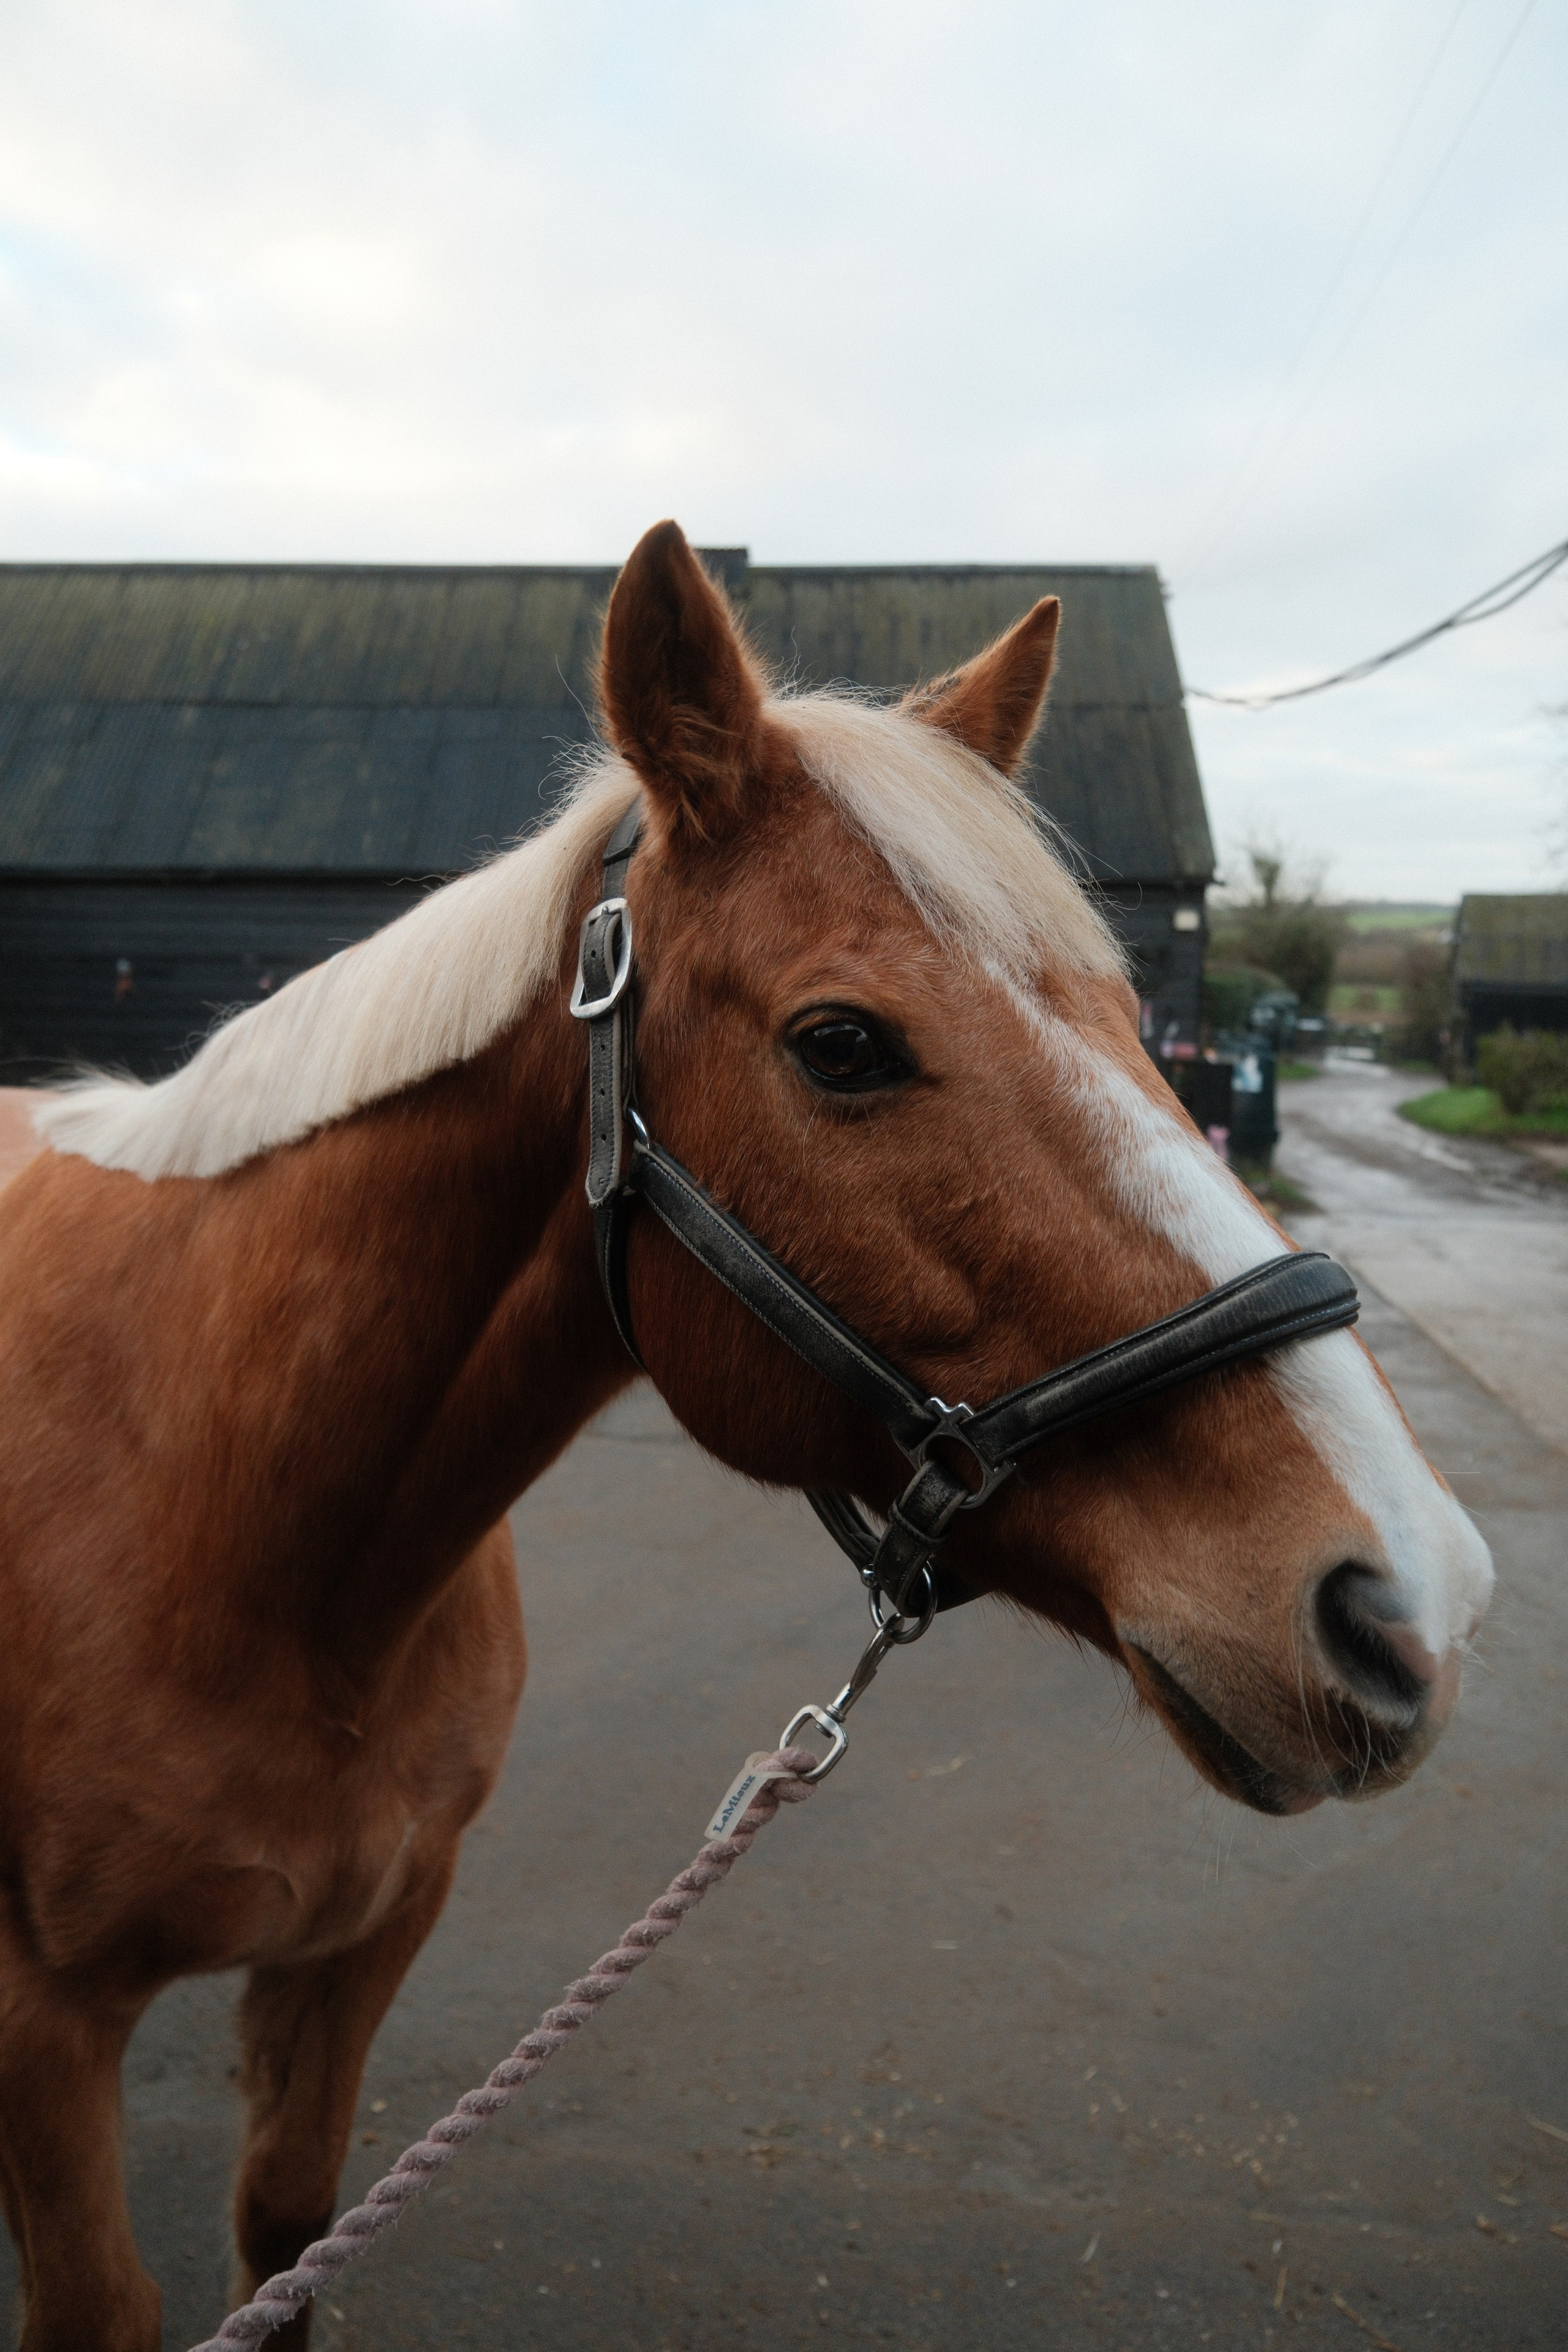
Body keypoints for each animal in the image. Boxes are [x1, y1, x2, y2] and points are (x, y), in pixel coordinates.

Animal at [0, 521, 1493, 2352]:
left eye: (1129, 1014)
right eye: (841, 1043)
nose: (1406, 1600)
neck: (234, 1517)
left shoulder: (354, 1951)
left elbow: (284, 2235)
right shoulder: (44, 2028)